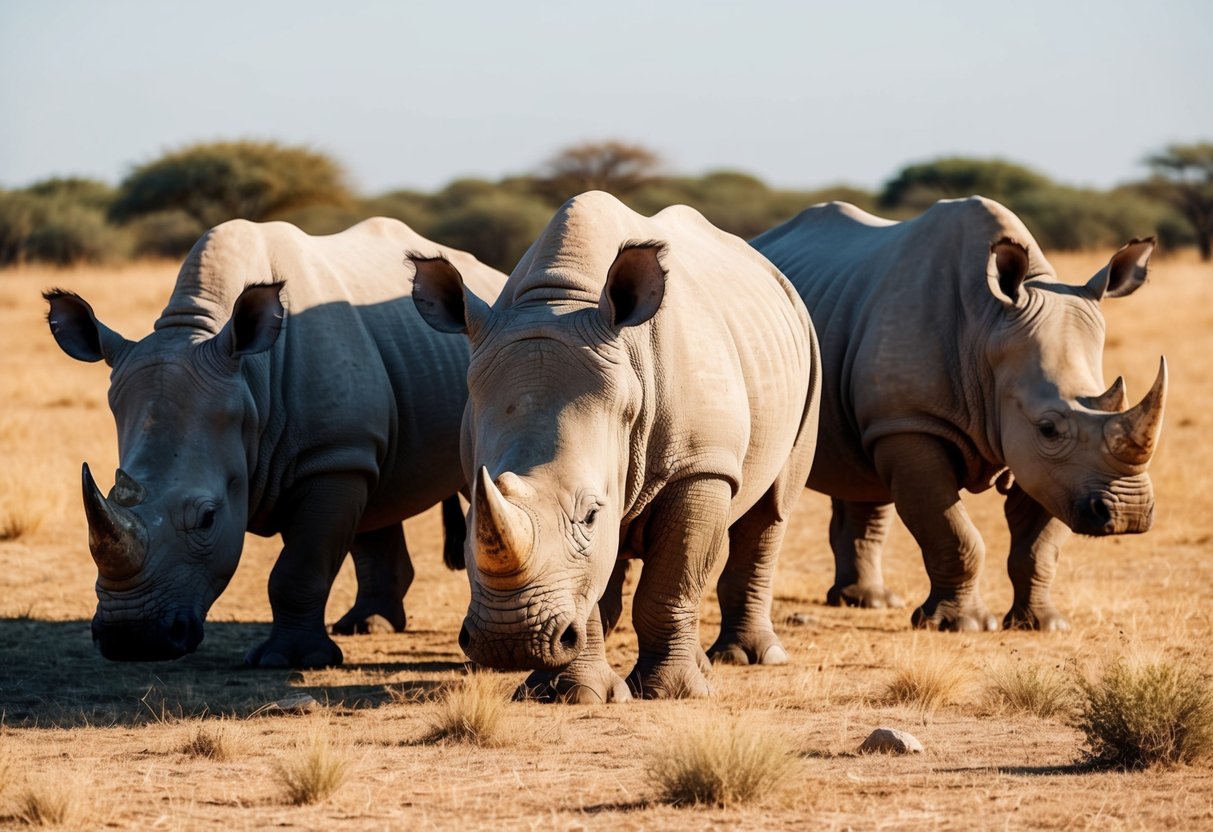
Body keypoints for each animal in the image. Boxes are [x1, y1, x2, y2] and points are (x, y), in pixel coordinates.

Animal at [44, 218, 504, 669]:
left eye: (207, 519)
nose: (132, 640)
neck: (248, 378)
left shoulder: (329, 457)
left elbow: (297, 570)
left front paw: (291, 659)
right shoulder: (342, 450)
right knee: (376, 493)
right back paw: (365, 626)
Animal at [412, 192, 819, 698]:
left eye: (590, 513)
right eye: (470, 526)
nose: (509, 643)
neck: (563, 299)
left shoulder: (700, 464)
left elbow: (671, 583)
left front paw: (674, 693)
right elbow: (591, 582)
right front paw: (566, 695)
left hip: (806, 345)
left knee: (770, 510)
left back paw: (746, 658)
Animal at [747, 200, 1164, 630]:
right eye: (1049, 428)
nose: (1130, 514)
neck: (989, 327)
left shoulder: (1054, 468)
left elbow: (1039, 545)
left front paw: (1042, 624)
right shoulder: (913, 422)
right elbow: (952, 531)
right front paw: (961, 625)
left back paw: (868, 602)